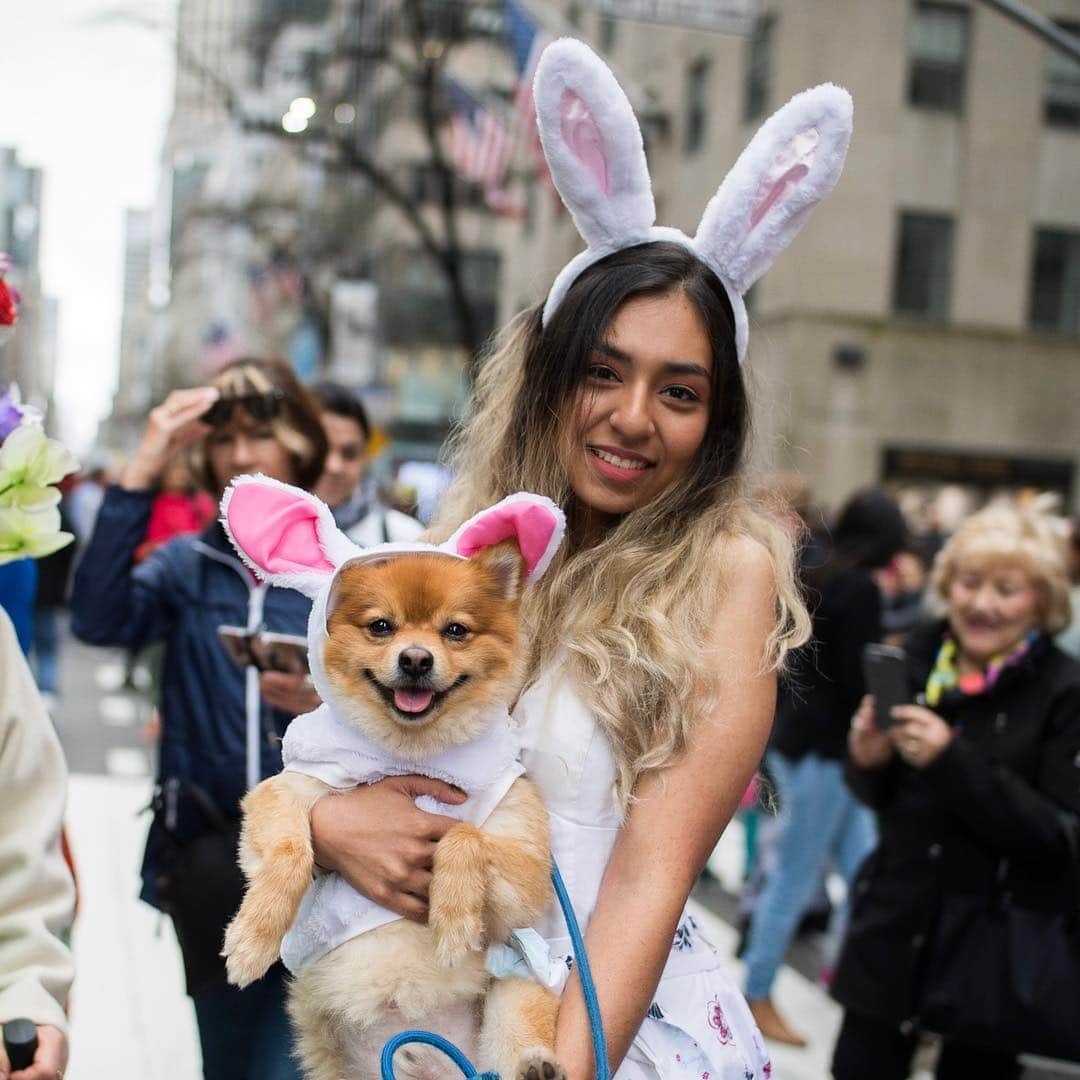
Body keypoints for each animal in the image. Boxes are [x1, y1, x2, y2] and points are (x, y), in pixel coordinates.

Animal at [217, 481, 565, 1080]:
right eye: (381, 626)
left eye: (456, 631)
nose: (417, 659)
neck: (409, 758)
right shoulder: (289, 790)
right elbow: (290, 853)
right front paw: (252, 940)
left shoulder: (525, 868)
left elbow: (463, 834)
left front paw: (453, 917)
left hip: (514, 989)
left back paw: (537, 1068)